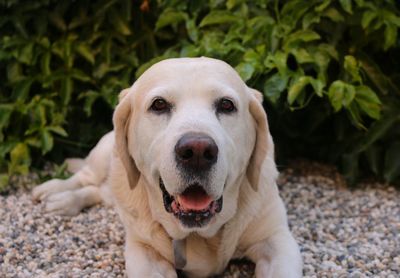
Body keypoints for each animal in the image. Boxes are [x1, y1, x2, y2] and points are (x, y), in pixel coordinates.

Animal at [33, 57, 304, 276]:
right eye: (159, 104)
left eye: (227, 105)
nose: (197, 151)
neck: (199, 235)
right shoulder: (143, 251)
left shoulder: (276, 239)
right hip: (105, 152)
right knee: (86, 177)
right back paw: (56, 193)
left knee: (98, 191)